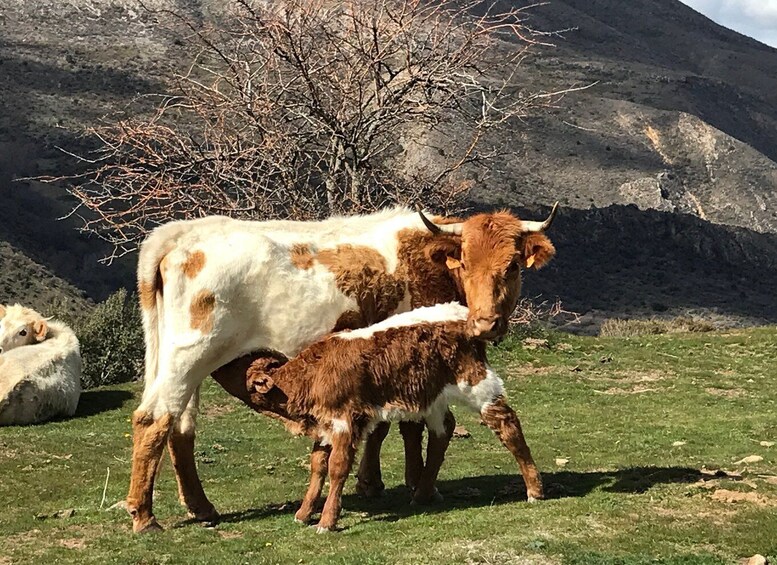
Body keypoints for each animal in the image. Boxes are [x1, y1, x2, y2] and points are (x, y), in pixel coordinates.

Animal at [239, 302, 544, 532]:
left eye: (251, 386)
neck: (314, 372)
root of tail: (462, 317)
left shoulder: (346, 420)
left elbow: (337, 468)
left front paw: (327, 521)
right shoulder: (325, 425)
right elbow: (317, 466)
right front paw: (303, 513)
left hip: (476, 384)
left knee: (507, 423)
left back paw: (534, 490)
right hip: (431, 397)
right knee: (443, 431)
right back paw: (422, 494)